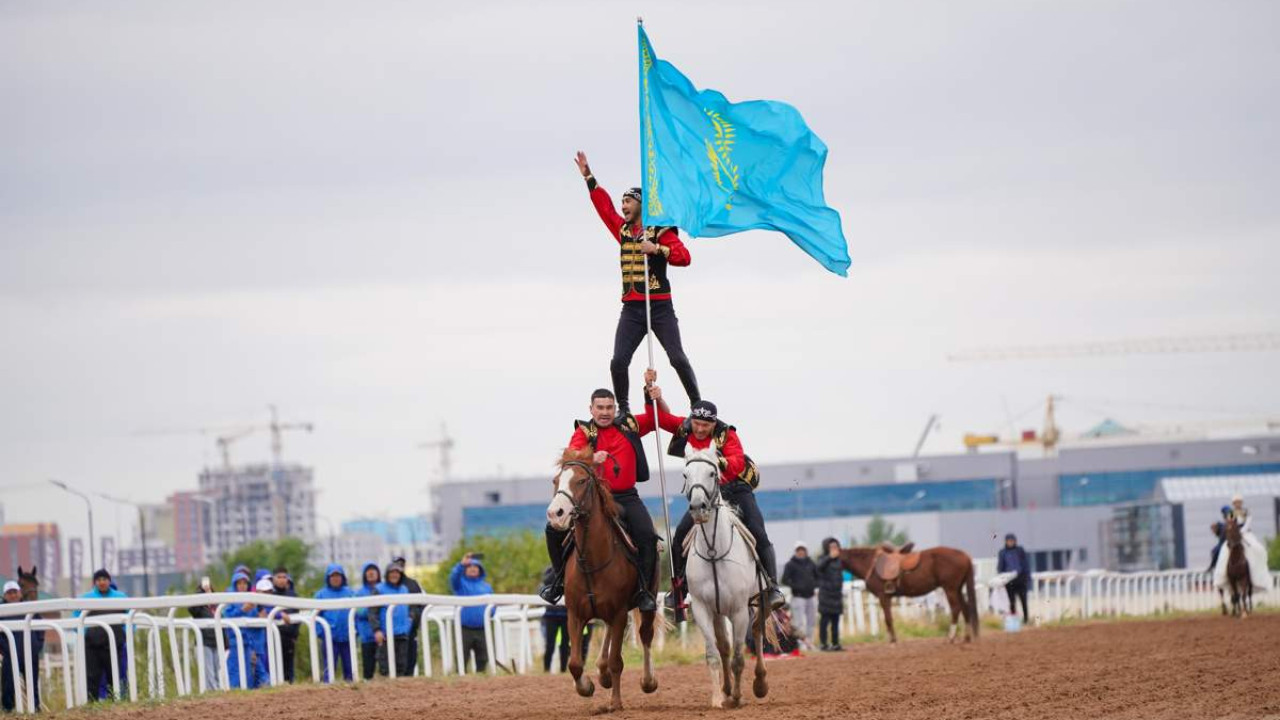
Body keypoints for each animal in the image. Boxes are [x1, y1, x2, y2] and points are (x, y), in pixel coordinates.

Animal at [542, 445, 655, 707]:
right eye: (556, 480)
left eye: (581, 480)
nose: (555, 514)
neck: (592, 561)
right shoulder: (574, 614)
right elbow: (574, 662)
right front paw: (586, 686)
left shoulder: (620, 612)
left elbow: (617, 661)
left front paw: (615, 702)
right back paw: (601, 674)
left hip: (647, 603)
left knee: (645, 635)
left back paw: (647, 681)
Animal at [680, 445, 768, 702]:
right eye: (685, 475)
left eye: (712, 473)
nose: (698, 508)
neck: (713, 550)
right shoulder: (702, 609)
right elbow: (714, 654)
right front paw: (718, 698)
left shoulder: (739, 610)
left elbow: (739, 657)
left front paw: (738, 697)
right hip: (719, 613)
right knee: (724, 646)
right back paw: (726, 689)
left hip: (758, 602)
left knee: (757, 632)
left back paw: (760, 683)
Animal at [839, 543, 977, 638]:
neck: (871, 564)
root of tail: (965, 556)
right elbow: (889, 618)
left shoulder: (883, 596)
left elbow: (888, 619)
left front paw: (893, 641)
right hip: (958, 589)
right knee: (965, 608)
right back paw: (966, 638)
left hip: (950, 589)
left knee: (956, 608)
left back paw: (951, 637)